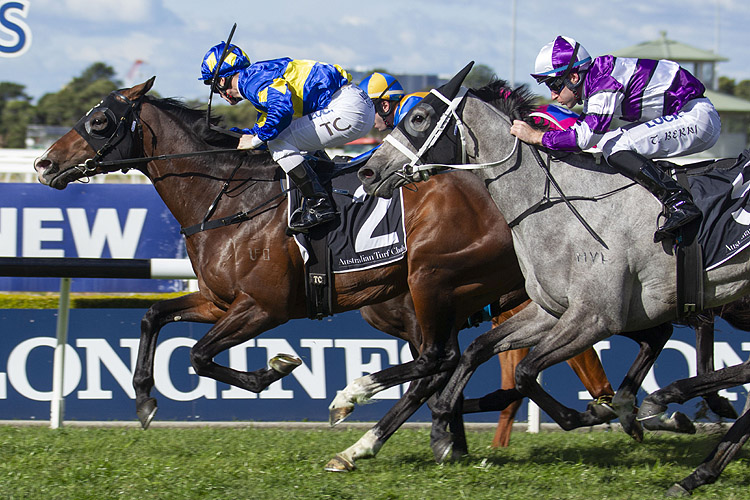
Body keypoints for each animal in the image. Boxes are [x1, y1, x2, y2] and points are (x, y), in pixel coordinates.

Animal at [356, 65, 750, 496]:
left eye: (418, 117)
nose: (368, 171)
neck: (558, 204)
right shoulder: (551, 309)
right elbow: (477, 351)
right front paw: (444, 424)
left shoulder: (594, 318)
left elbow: (522, 372)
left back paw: (670, 407)